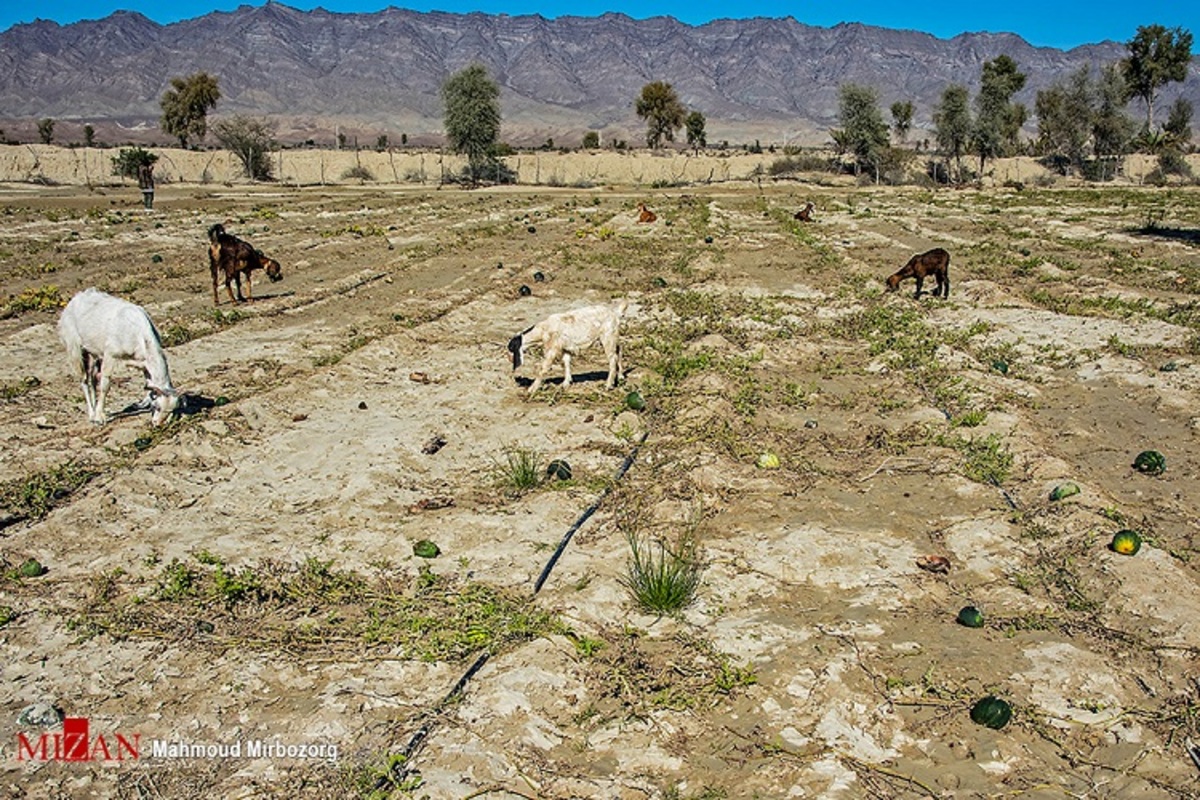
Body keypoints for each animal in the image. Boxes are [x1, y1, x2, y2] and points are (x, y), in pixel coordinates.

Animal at [57, 287, 181, 424]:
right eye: (158, 407)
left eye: (171, 410)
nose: (158, 424)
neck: (138, 334)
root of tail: (74, 299)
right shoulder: (110, 355)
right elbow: (105, 384)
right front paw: (100, 418)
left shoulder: (143, 363)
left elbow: (149, 382)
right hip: (74, 347)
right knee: (83, 378)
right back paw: (92, 415)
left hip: (94, 352)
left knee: (93, 377)